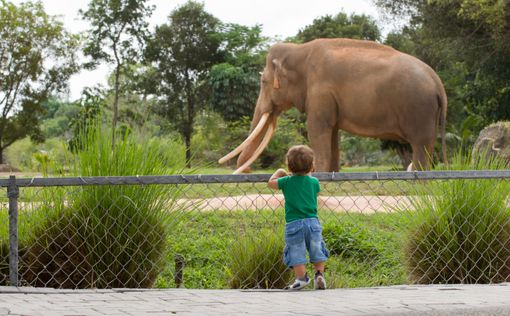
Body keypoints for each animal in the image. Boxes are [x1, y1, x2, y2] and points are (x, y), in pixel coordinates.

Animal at [219, 39, 446, 175]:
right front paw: (333, 175)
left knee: (420, 144)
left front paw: (317, 175)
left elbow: (317, 131)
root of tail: (438, 82)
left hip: (418, 109)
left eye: (263, 82)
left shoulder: (320, 92)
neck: (299, 49)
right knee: (427, 145)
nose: (248, 172)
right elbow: (333, 134)